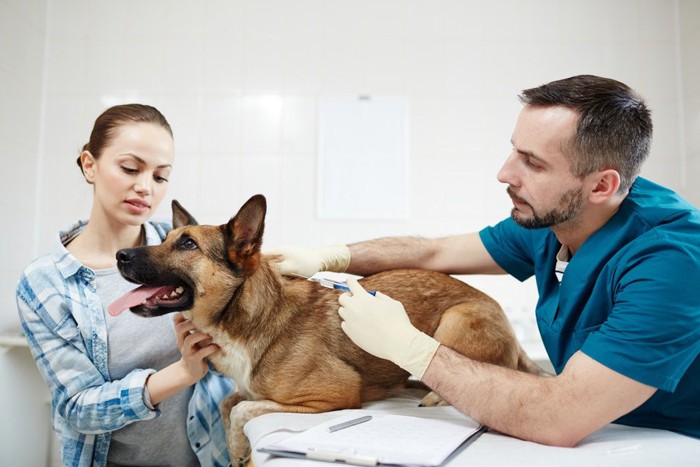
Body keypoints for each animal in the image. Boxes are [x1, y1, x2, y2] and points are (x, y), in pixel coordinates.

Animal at [113, 194, 540, 464]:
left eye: (187, 244)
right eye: (168, 238)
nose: (120, 254)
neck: (248, 316)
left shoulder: (333, 396)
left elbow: (242, 410)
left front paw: (239, 449)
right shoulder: (246, 390)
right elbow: (228, 404)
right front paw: (235, 450)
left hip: (457, 320)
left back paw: (433, 393)